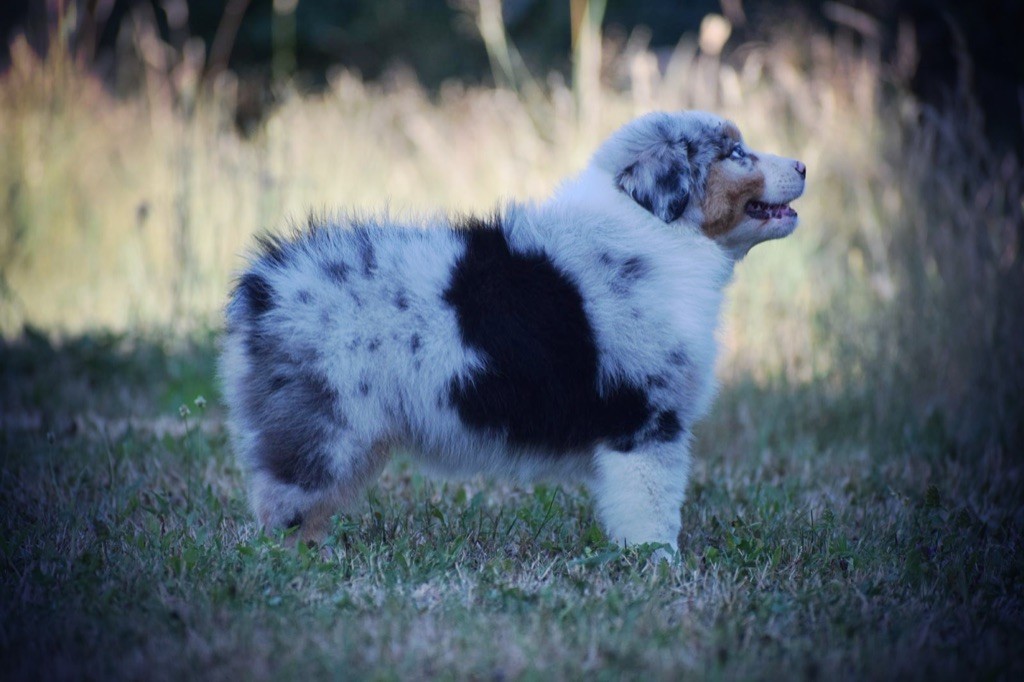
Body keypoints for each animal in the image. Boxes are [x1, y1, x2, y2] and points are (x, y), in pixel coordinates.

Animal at [219, 110, 806, 555]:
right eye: (735, 153)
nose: (803, 164)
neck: (658, 231)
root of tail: (263, 287)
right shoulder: (645, 420)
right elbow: (652, 506)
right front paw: (657, 565)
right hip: (326, 427)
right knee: (282, 503)